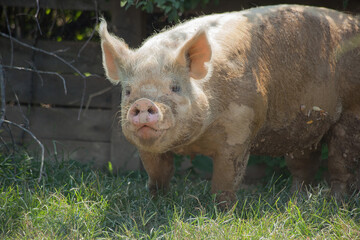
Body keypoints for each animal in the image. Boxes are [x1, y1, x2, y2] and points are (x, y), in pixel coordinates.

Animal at [98, 4, 360, 206]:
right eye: (128, 91)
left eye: (175, 87)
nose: (144, 103)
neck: (192, 143)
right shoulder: (148, 149)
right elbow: (157, 174)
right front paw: (156, 203)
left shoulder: (239, 129)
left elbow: (226, 176)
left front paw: (220, 211)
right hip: (304, 124)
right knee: (304, 164)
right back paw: (295, 200)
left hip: (351, 111)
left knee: (340, 164)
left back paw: (336, 202)